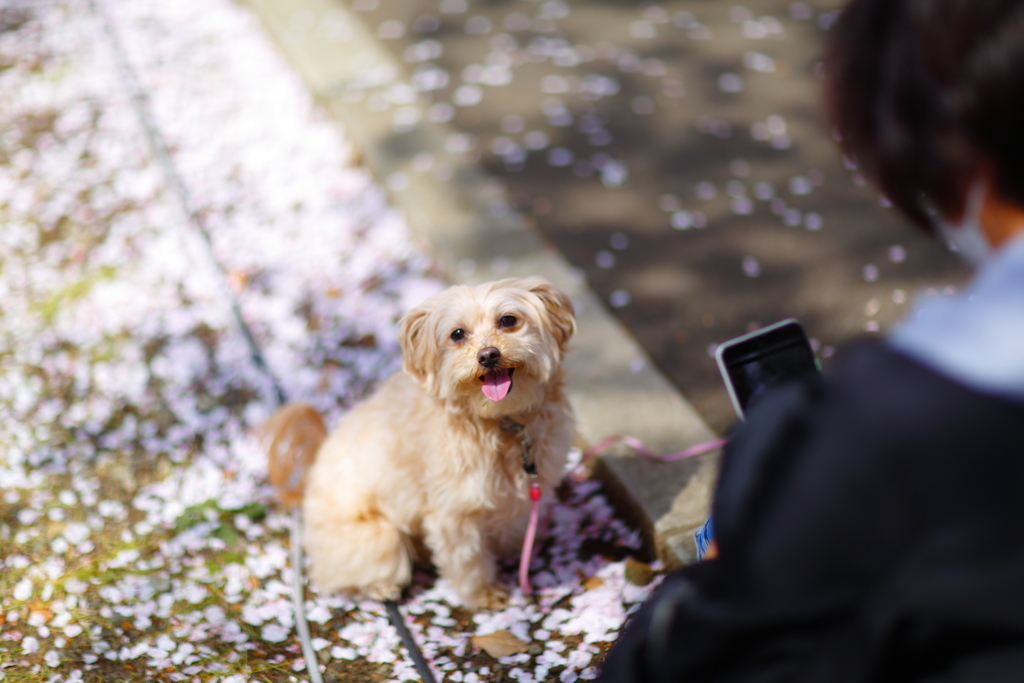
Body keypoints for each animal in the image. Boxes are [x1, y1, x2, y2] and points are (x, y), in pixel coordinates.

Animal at [264, 274, 577, 606]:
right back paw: (381, 587)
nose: (488, 355)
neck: (501, 423)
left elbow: (515, 527)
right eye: (457, 334)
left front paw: (519, 555)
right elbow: (468, 559)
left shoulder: (522, 494)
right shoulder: (454, 513)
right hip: (377, 537)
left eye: (508, 320)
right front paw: (485, 593)